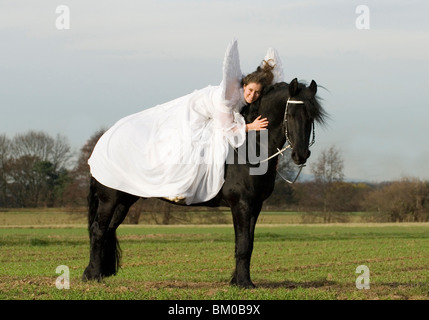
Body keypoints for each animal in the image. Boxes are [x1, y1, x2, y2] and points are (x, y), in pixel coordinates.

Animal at [82, 77, 326, 288]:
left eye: (312, 116)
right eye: (291, 114)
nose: (301, 155)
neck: (248, 148)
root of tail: (103, 141)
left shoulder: (255, 206)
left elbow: (247, 243)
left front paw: (238, 280)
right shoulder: (241, 204)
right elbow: (243, 245)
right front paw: (244, 283)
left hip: (124, 200)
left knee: (108, 230)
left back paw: (95, 272)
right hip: (109, 199)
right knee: (98, 231)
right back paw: (93, 276)